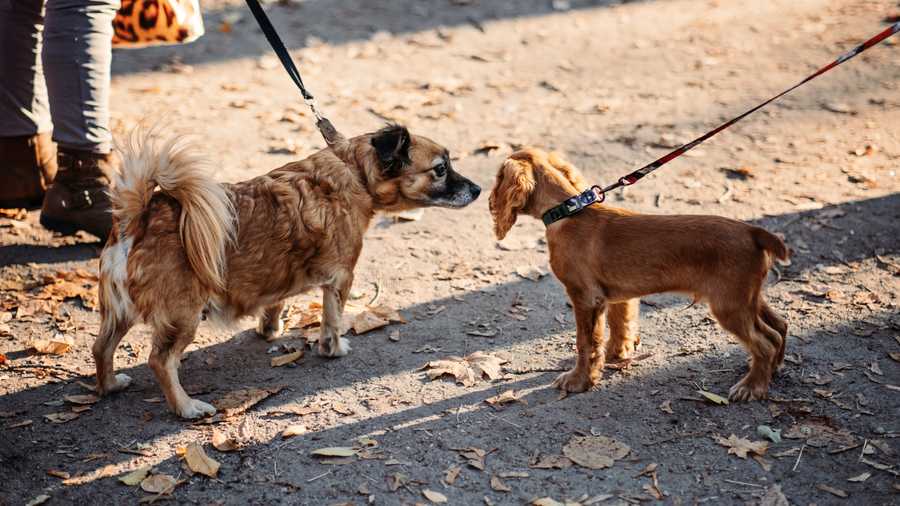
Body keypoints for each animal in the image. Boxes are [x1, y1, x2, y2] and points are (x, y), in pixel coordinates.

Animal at [94, 124, 482, 418]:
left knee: (101, 348)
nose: (478, 188)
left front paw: (269, 329)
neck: (354, 172)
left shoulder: (275, 274)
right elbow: (332, 321)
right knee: (160, 361)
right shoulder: (341, 279)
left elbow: (274, 301)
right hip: (182, 317)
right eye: (440, 169)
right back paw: (186, 407)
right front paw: (333, 348)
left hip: (118, 313)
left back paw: (109, 385)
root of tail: (138, 218)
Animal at [488, 148, 792, 402]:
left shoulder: (585, 298)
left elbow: (586, 343)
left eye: (498, 176)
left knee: (765, 342)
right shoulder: (616, 296)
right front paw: (614, 356)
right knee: (779, 327)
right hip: (746, 298)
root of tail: (753, 231)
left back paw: (752, 387)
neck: (568, 211)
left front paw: (579, 380)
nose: (488, 199)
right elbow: (619, 326)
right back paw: (771, 370)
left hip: (729, 305)